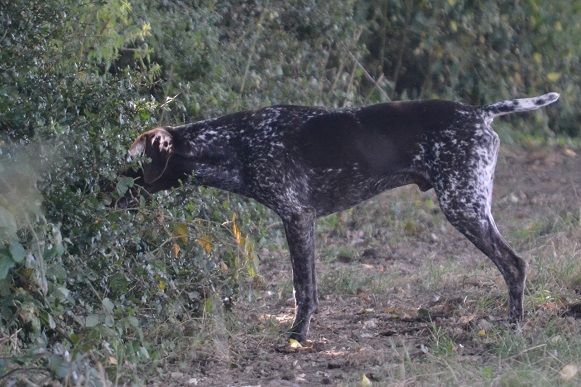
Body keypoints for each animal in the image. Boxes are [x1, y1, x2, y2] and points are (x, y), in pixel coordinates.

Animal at [123, 93, 556, 342]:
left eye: (137, 164)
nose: (113, 194)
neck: (237, 143)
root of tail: (480, 113)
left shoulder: (296, 217)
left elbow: (302, 290)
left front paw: (297, 336)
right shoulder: (305, 221)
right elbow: (309, 288)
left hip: (462, 205)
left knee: (514, 264)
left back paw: (514, 328)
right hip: (469, 205)